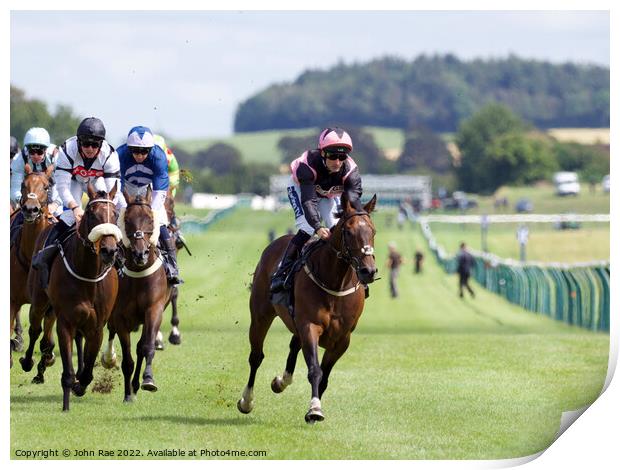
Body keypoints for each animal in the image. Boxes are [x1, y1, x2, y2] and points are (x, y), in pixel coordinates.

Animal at [28, 184, 121, 412]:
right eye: (91, 214)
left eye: (115, 214)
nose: (109, 250)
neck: (88, 274)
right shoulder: (65, 322)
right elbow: (67, 372)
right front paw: (66, 404)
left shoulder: (97, 325)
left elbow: (88, 370)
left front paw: (80, 385)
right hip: (39, 300)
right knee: (35, 329)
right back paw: (28, 363)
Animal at [100, 187, 172, 400]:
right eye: (127, 219)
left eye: (150, 219)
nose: (141, 254)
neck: (139, 276)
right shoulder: (120, 317)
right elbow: (127, 358)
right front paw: (128, 395)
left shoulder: (154, 309)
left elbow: (146, 347)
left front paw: (147, 379)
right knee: (111, 332)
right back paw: (109, 358)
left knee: (141, 346)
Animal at [237, 193, 378, 424]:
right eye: (348, 232)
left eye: (373, 231)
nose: (369, 271)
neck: (335, 283)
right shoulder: (310, 326)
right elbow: (315, 370)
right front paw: (314, 409)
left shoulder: (342, 339)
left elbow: (325, 377)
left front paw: (313, 409)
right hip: (260, 315)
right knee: (256, 356)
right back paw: (246, 401)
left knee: (293, 345)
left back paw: (281, 381)